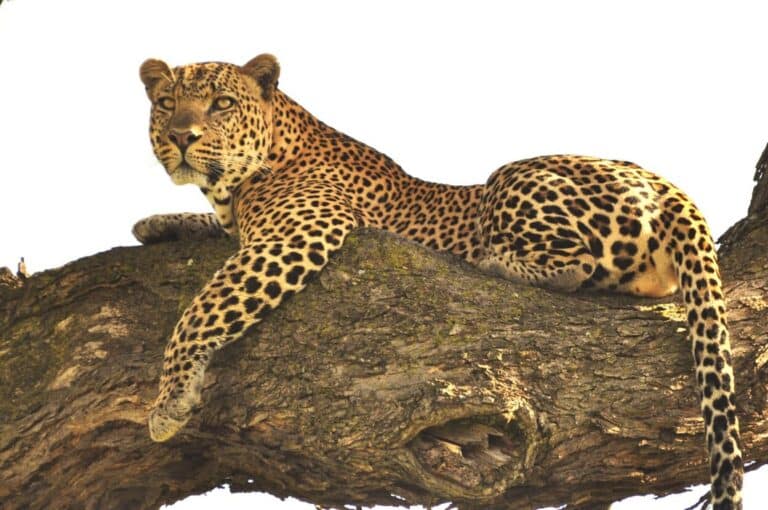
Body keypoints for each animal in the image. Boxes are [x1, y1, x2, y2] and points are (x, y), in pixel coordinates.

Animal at [135, 54, 743, 510]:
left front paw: (169, 401)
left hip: (511, 181)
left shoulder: (300, 233)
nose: (181, 137)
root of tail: (669, 187)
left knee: (576, 264)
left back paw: (491, 261)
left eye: (221, 104)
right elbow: (208, 234)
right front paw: (154, 223)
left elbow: (204, 308)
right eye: (166, 104)